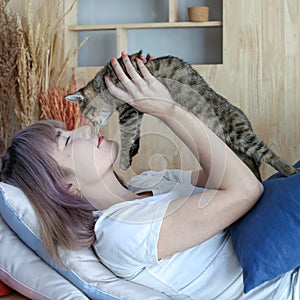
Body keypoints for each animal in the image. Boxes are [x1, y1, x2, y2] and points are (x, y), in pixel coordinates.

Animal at [64, 51, 296, 180]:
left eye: (86, 114)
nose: (94, 127)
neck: (104, 82)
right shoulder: (136, 110)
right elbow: (135, 133)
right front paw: (132, 152)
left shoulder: (129, 108)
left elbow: (127, 134)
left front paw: (123, 160)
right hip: (234, 148)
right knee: (252, 162)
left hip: (240, 135)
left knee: (266, 153)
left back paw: (288, 170)